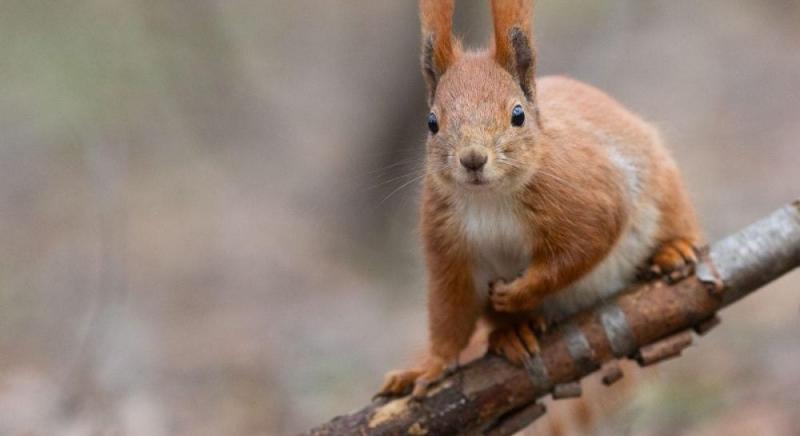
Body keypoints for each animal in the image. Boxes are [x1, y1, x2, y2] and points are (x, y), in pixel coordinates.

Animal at [378, 0, 696, 400]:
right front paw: (429, 366)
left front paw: (520, 292)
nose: (473, 159)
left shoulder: (591, 196)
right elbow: (451, 311)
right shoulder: (447, 243)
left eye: (518, 115)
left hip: (666, 192)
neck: (490, 198)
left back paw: (673, 250)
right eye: (431, 122)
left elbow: (582, 248)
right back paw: (513, 332)